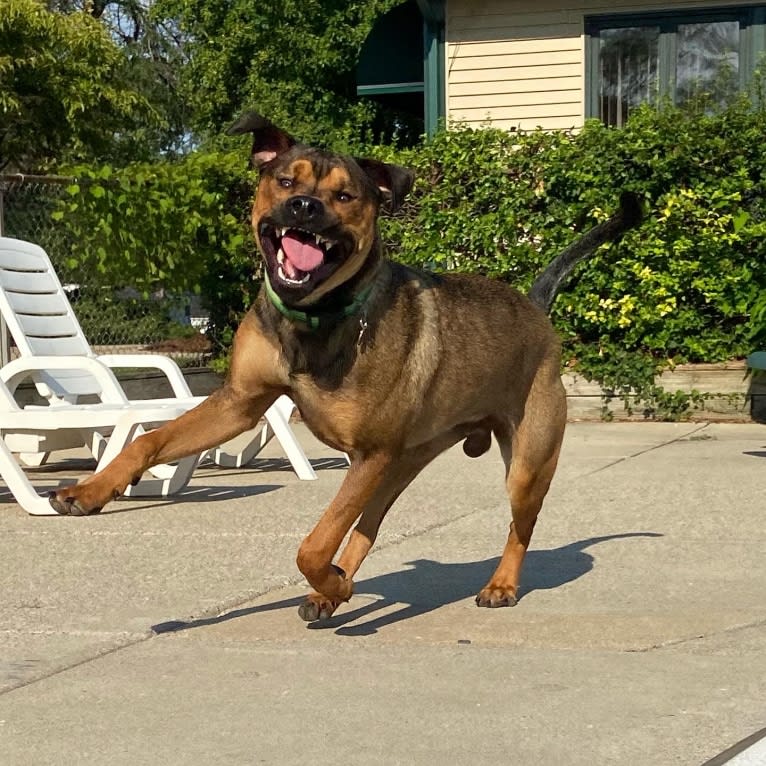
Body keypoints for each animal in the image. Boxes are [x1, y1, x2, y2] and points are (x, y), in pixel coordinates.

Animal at [46, 115, 636, 624]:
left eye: (345, 195)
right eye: (285, 181)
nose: (304, 208)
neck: (315, 316)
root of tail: (535, 308)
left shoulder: (367, 454)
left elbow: (313, 545)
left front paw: (332, 580)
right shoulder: (241, 403)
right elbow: (150, 441)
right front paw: (91, 491)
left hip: (521, 463)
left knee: (519, 526)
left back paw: (498, 584)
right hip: (399, 467)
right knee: (368, 528)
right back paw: (336, 588)